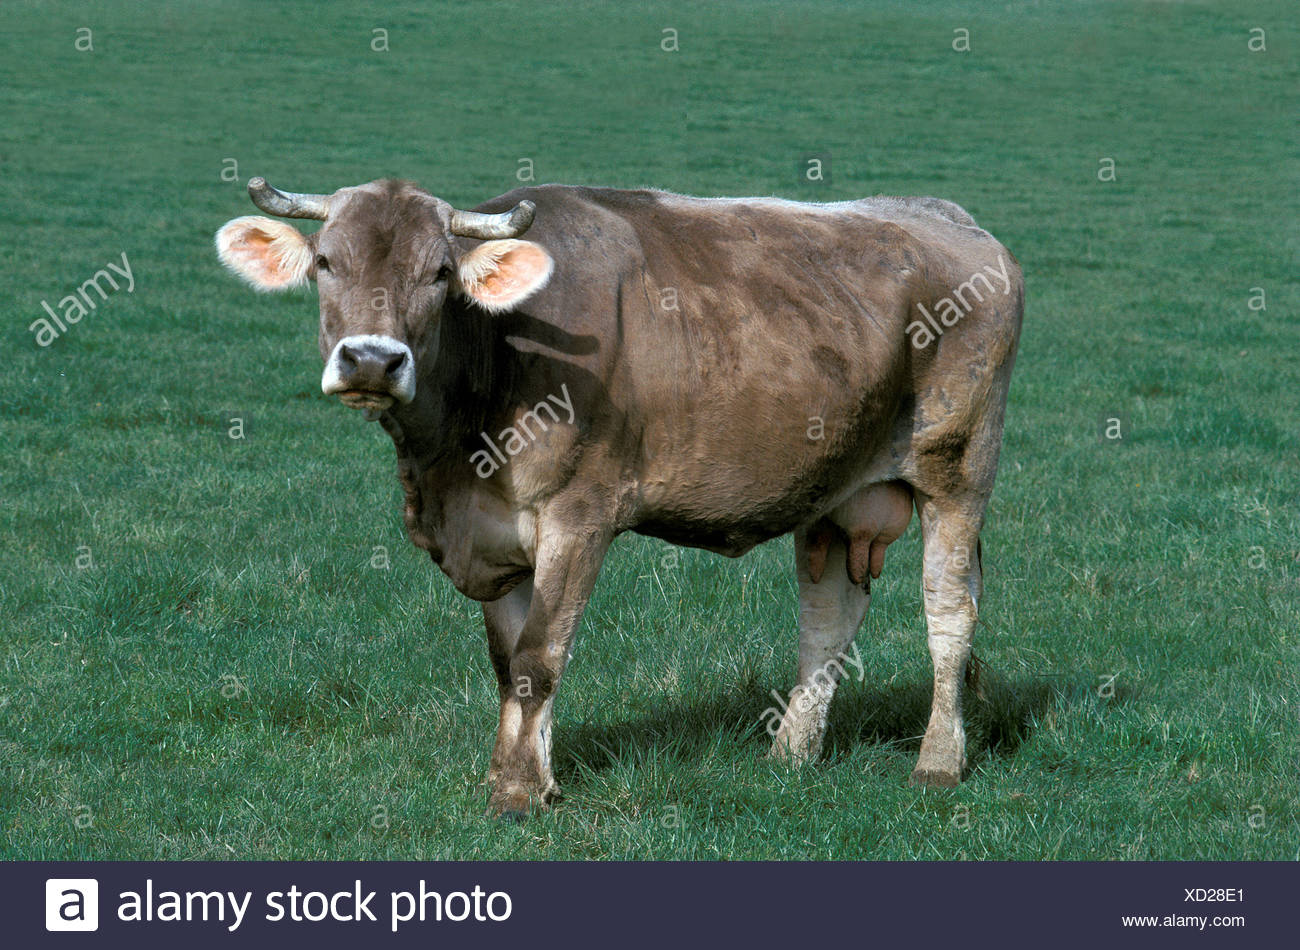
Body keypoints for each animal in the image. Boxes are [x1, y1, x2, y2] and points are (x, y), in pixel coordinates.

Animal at [216, 176, 1023, 818]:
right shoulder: (494, 538)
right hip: (833, 487)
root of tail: (947, 217)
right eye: (326, 261)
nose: (372, 361)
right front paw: (532, 778)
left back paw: (938, 762)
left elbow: (541, 658)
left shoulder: (580, 516)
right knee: (828, 617)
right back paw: (790, 753)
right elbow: (509, 664)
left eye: (440, 272)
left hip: (958, 469)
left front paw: (515, 794)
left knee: (949, 610)